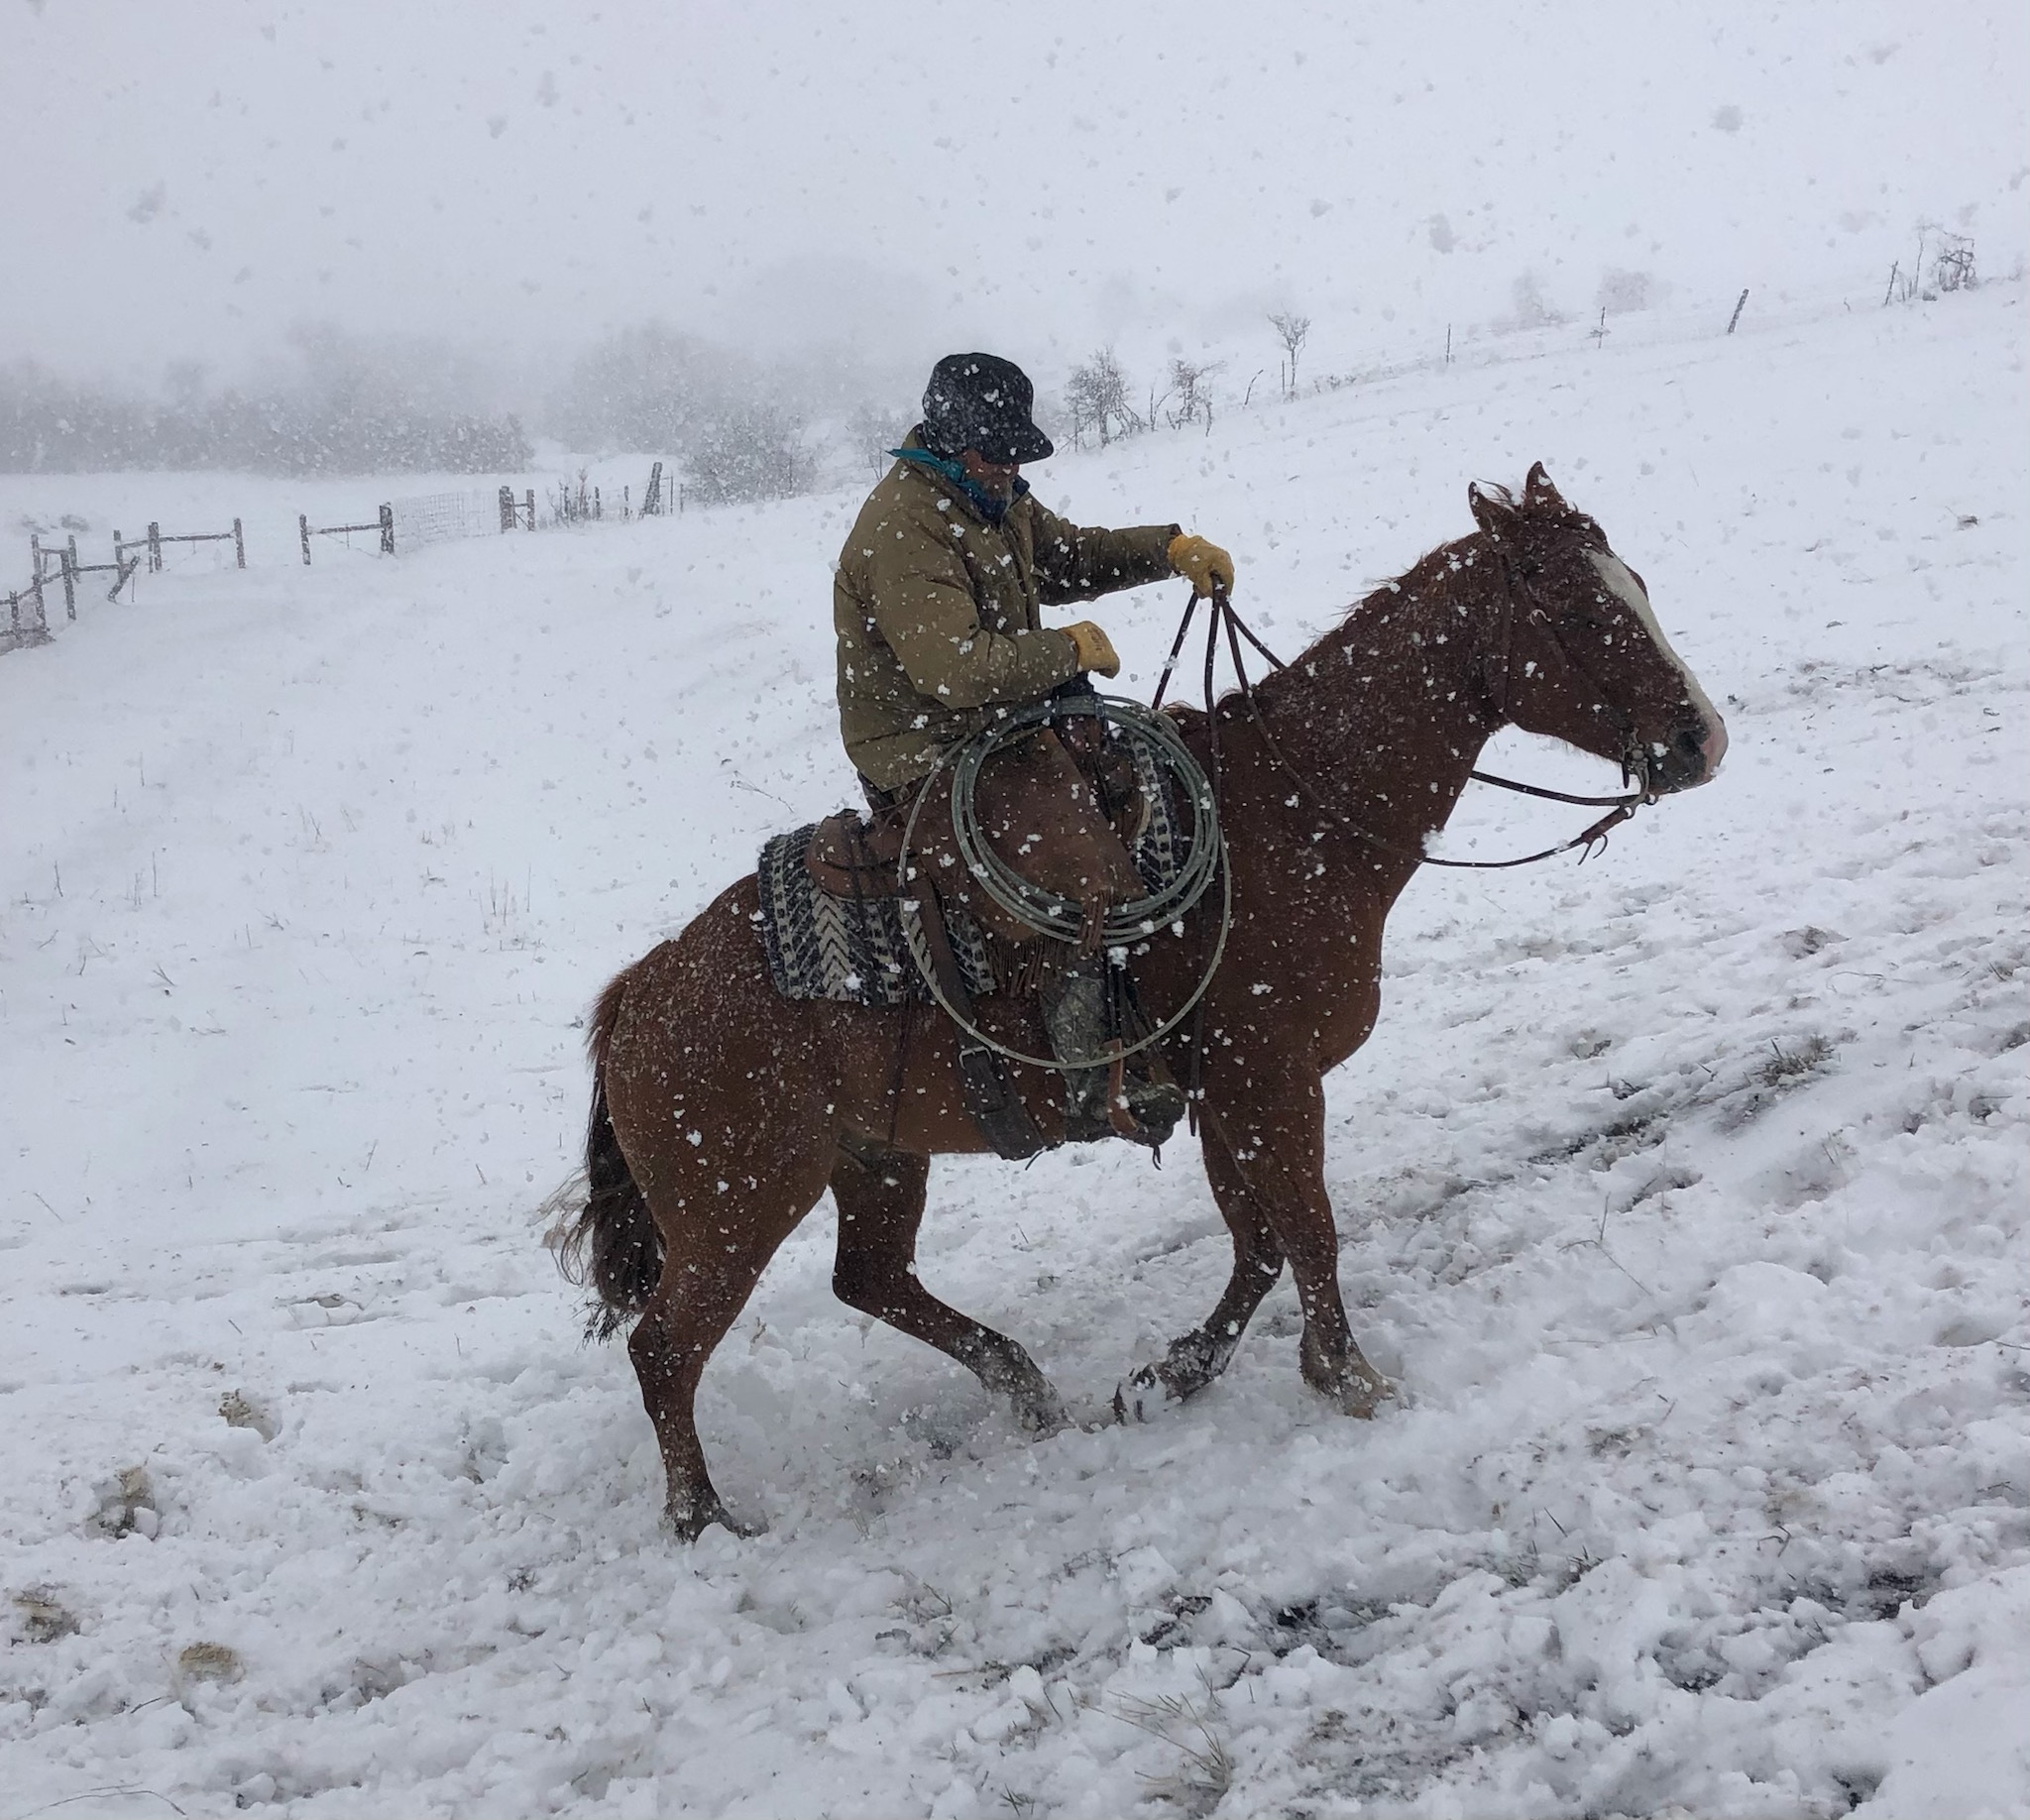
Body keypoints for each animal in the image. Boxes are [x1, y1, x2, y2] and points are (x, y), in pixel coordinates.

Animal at [558, 463, 1727, 1539]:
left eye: (1632, 584)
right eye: (1573, 605)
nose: (1699, 739)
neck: (1291, 811)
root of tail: (637, 997)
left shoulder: (1225, 1093)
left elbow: (1258, 1240)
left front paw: (1174, 1373)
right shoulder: (1271, 1079)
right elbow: (1308, 1229)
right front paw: (1350, 1380)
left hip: (873, 1161)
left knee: (869, 1279)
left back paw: (1024, 1386)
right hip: (736, 1207)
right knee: (664, 1349)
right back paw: (704, 1519)